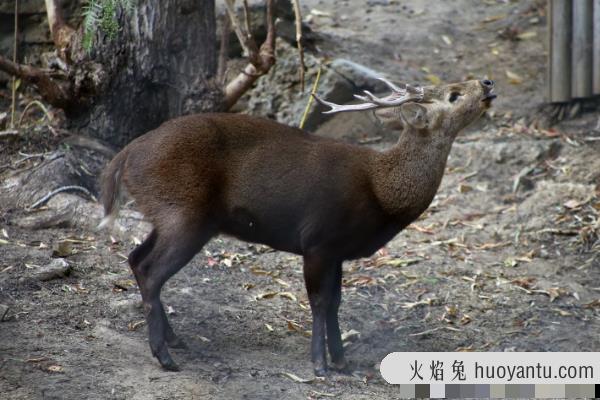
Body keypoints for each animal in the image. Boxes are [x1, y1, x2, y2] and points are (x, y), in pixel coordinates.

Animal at [101, 77, 496, 376]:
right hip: (184, 212)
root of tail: (126, 155)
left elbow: (336, 302)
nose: (487, 83)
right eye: (453, 95)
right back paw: (165, 357)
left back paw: (174, 340)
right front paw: (320, 365)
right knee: (150, 270)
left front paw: (343, 362)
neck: (382, 193)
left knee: (135, 258)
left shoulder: (338, 251)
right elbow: (319, 302)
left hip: (169, 214)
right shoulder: (318, 239)